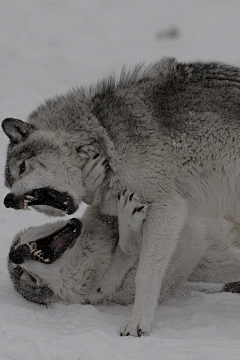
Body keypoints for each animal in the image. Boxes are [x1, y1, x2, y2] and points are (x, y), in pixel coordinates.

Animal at [2, 57, 240, 336]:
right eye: (9, 182)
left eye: (21, 168)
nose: (7, 200)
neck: (105, 139)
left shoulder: (168, 207)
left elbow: (145, 274)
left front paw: (138, 322)